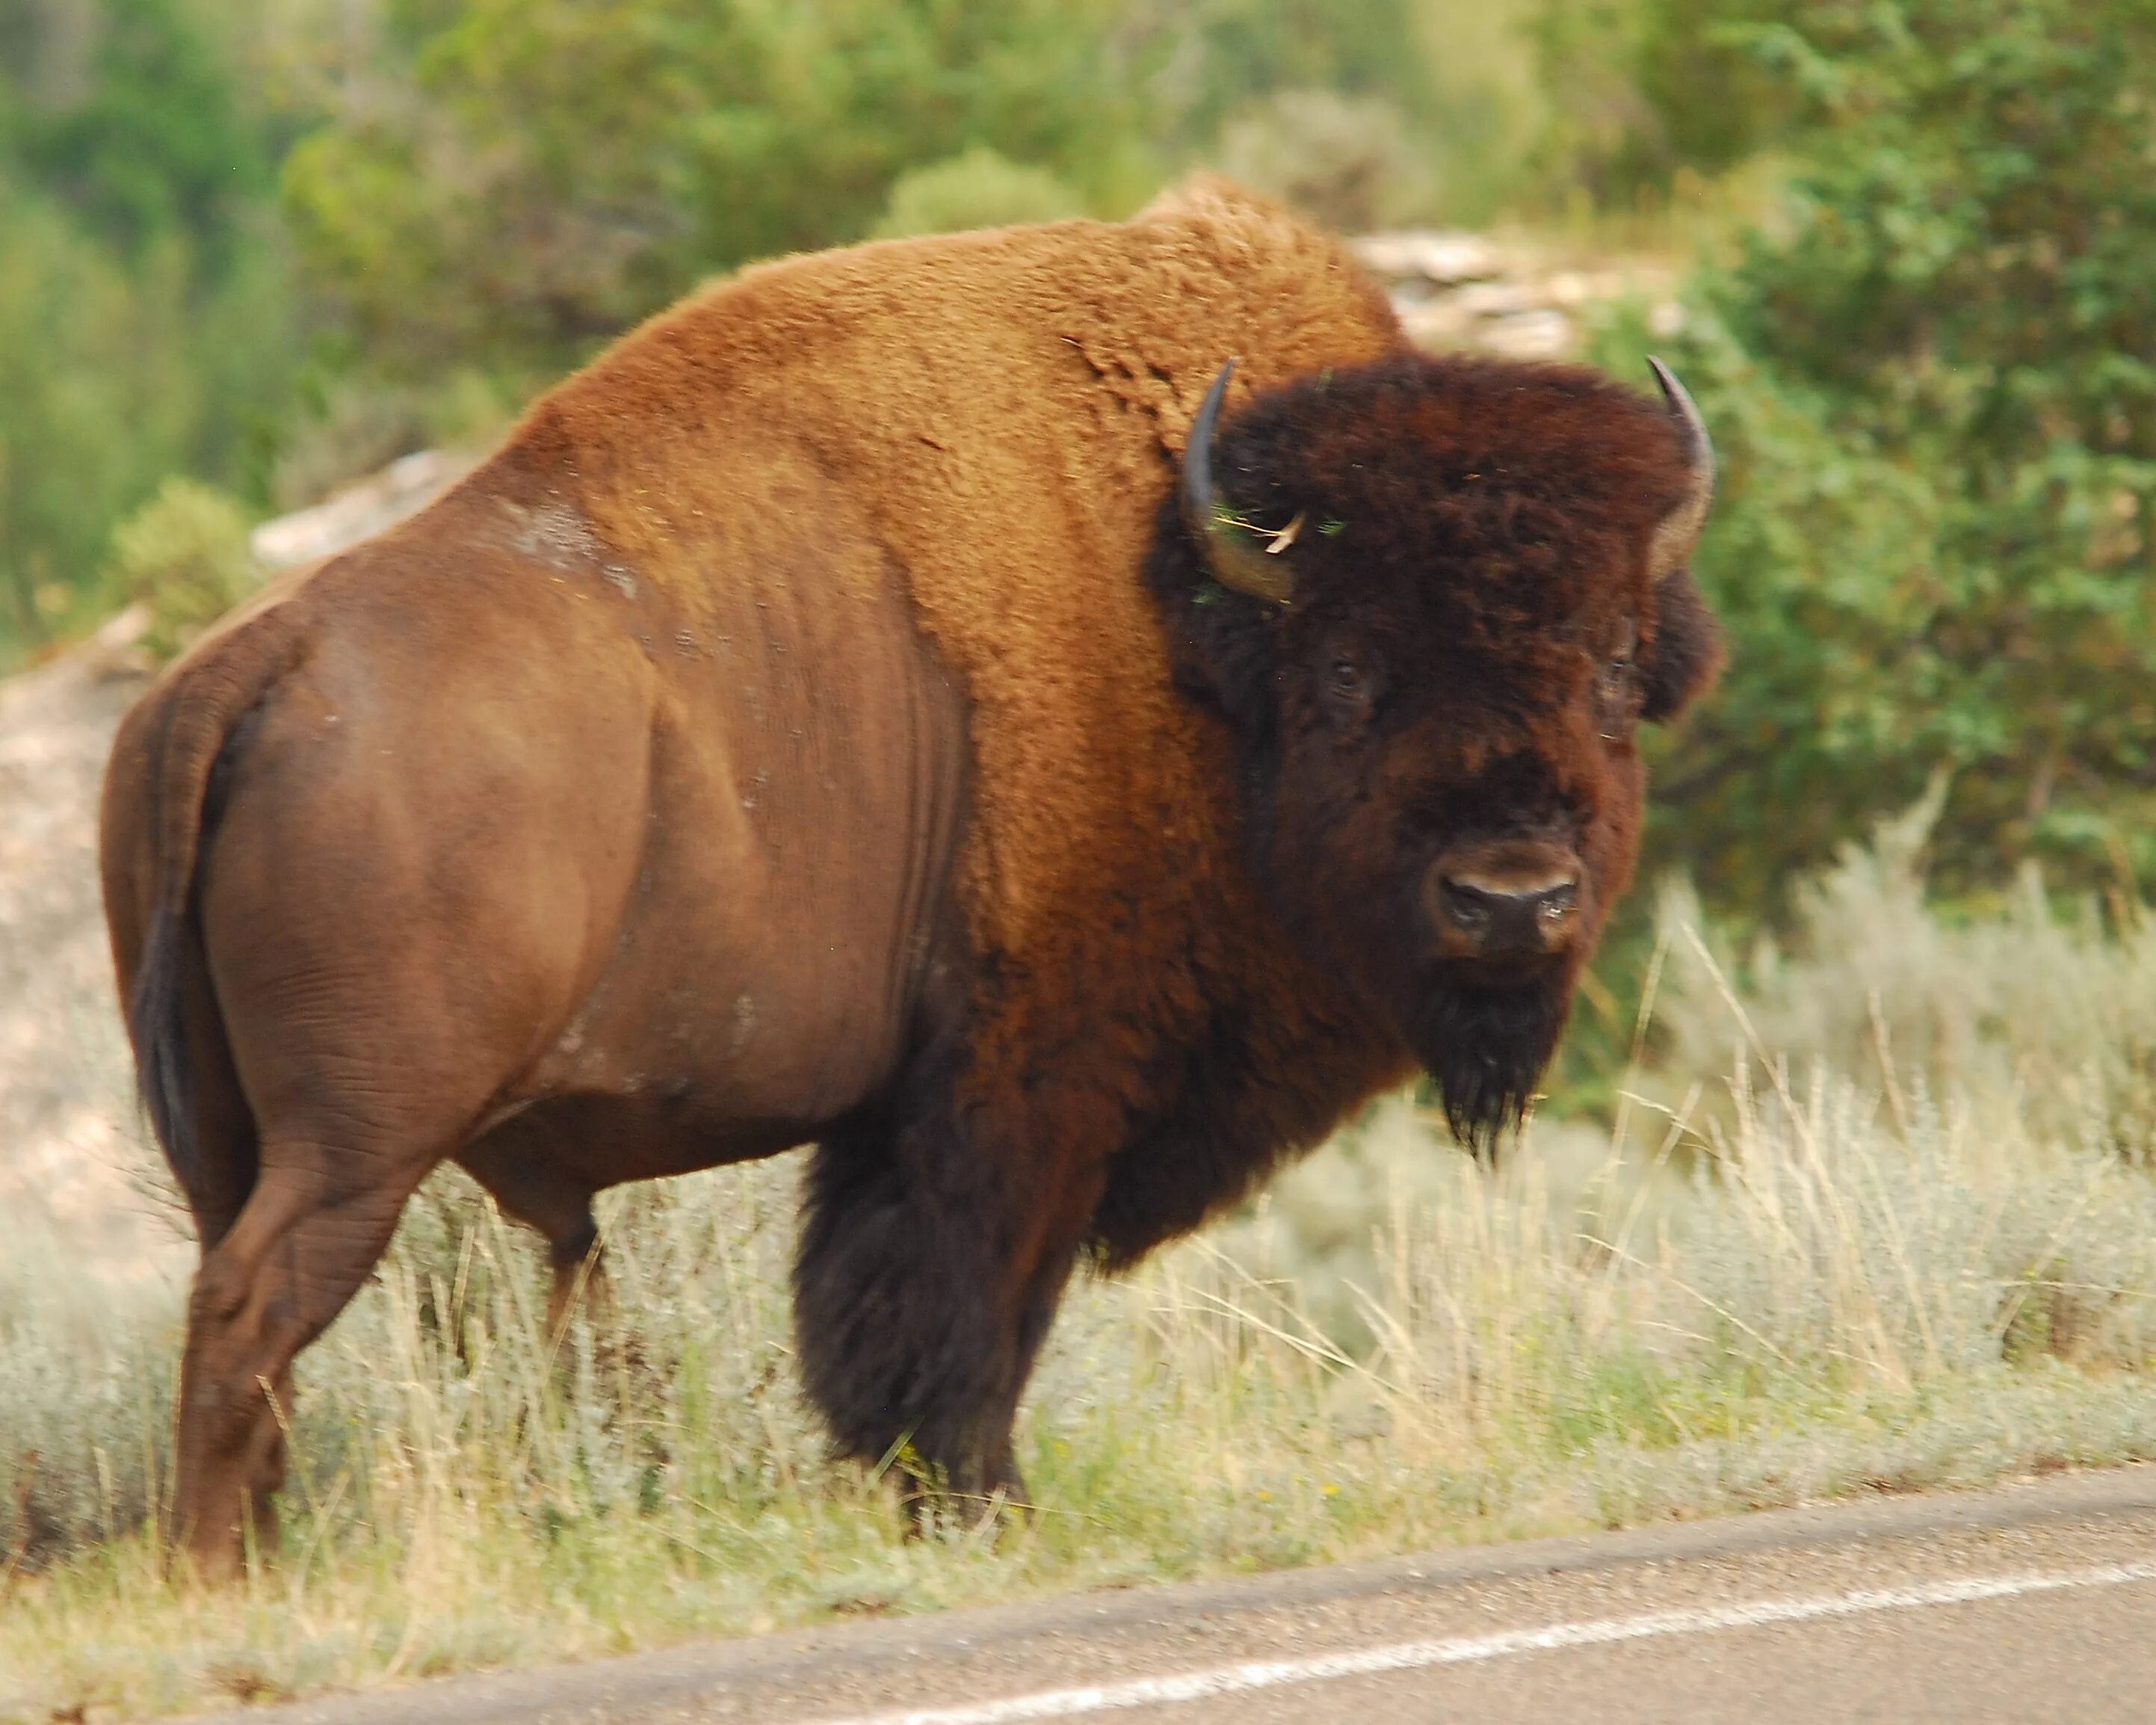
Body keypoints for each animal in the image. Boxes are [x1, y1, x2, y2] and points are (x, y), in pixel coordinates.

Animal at [96, 182, 1716, 1570]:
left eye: (1612, 663)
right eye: (1346, 672)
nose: (1508, 897)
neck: (1187, 620)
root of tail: (246, 665)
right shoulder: (1020, 1089)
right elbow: (964, 1313)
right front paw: (981, 1503)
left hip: (229, 1136)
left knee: (236, 1309)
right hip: (359, 1139)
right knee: (251, 1304)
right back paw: (220, 1572)